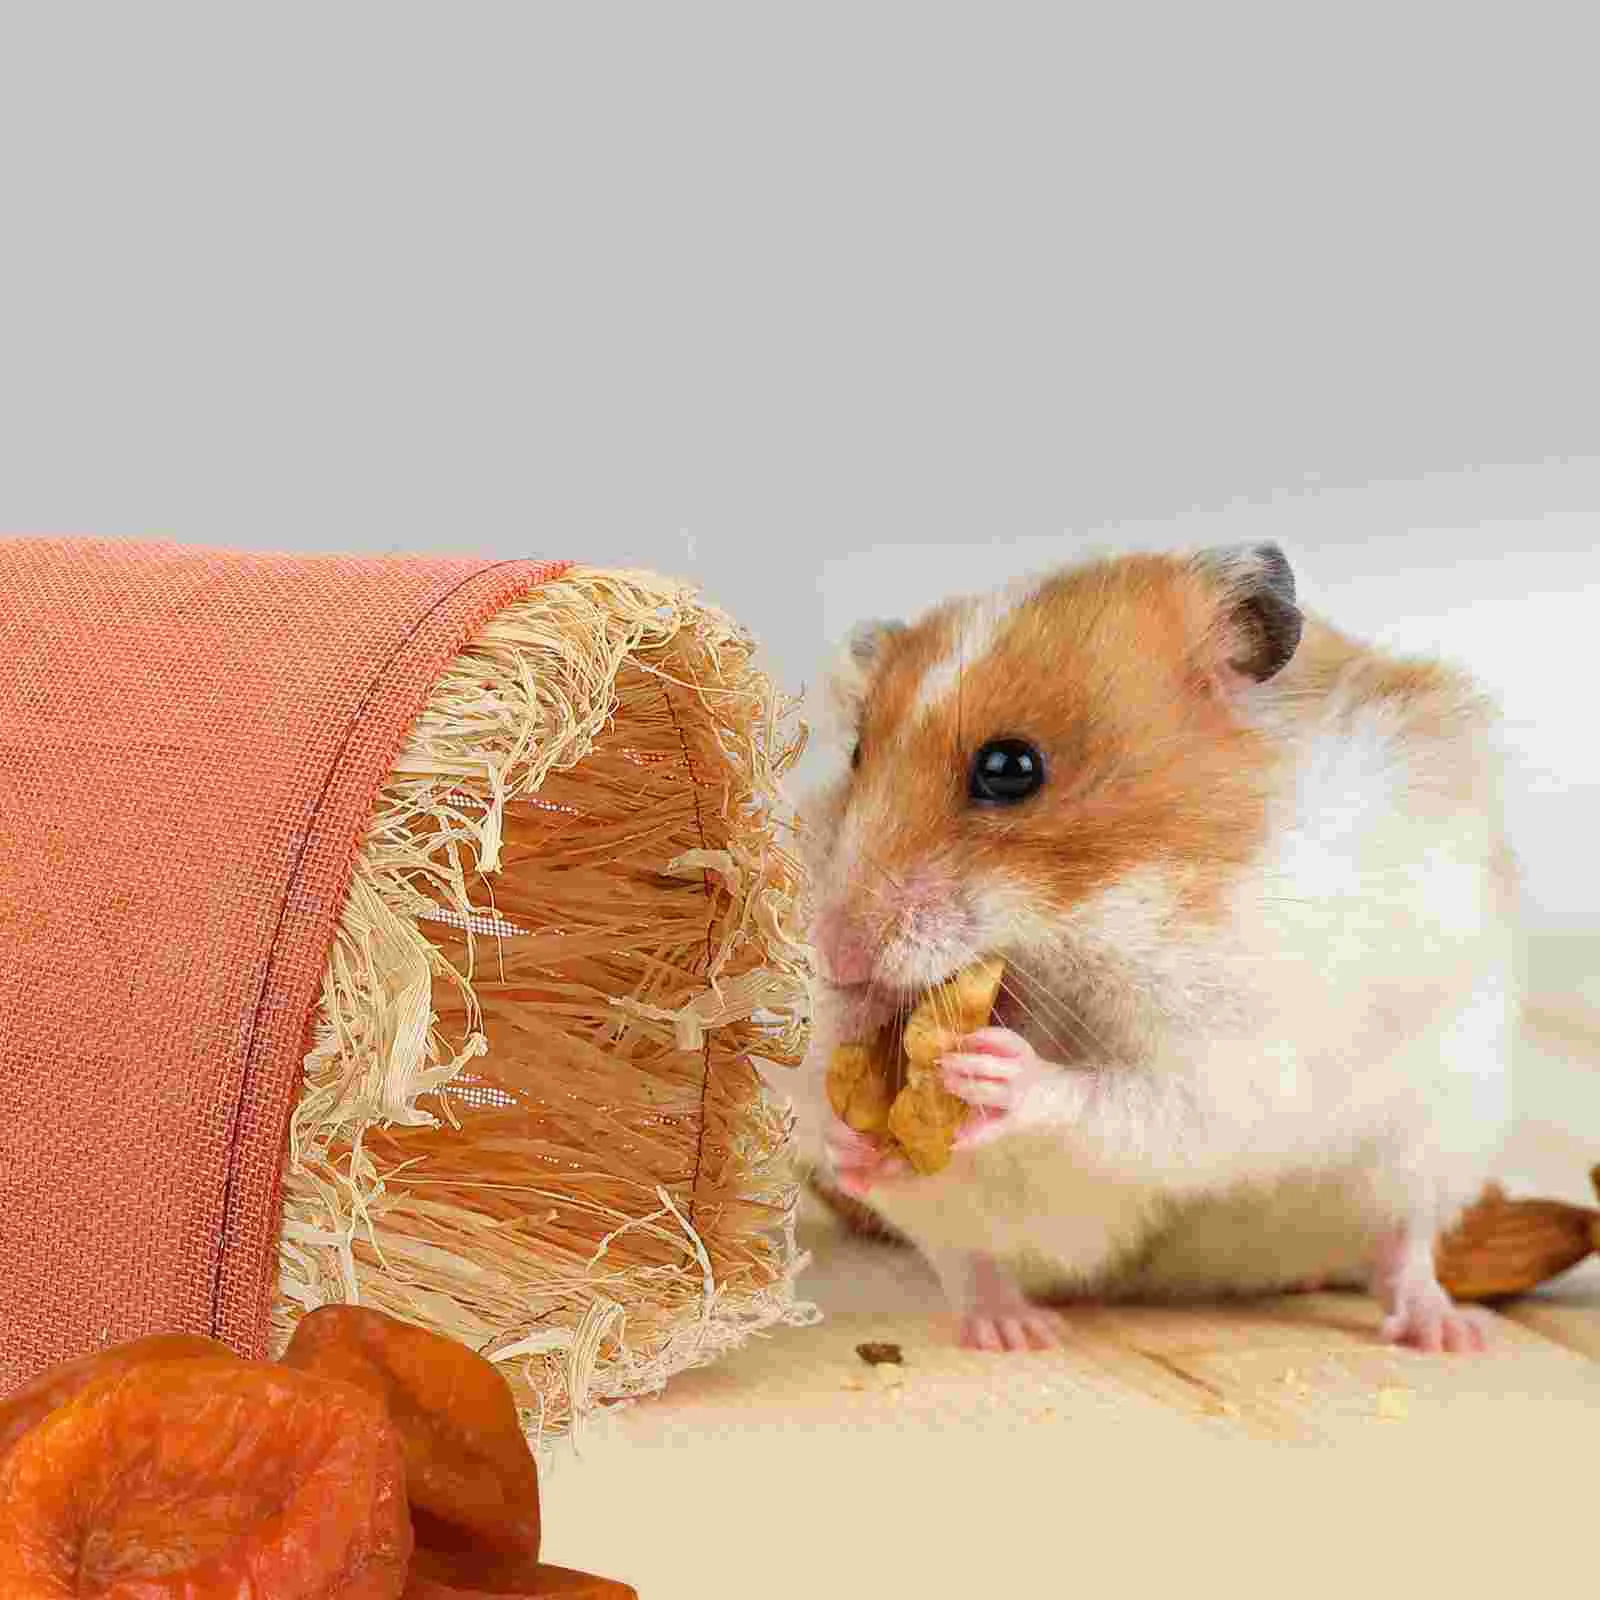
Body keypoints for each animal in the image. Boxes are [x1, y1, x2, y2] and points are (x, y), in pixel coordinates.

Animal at [798, 544, 1521, 1354]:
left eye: (1010, 767)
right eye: (857, 755)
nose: (836, 956)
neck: (1099, 918)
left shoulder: (1239, 1053)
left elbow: (1134, 1102)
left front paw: (997, 1070)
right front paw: (848, 1135)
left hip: (1441, 1131)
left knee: (1405, 1240)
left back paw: (1451, 1334)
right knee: (968, 1259)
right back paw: (1015, 1331)